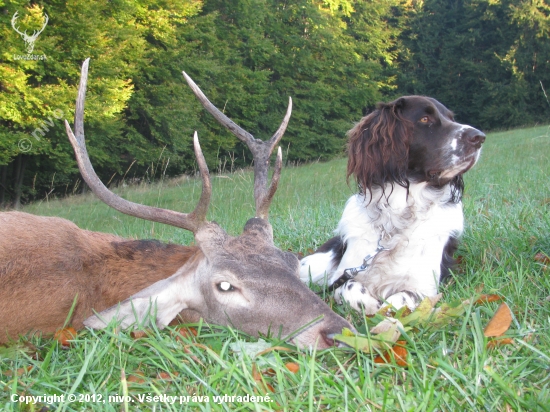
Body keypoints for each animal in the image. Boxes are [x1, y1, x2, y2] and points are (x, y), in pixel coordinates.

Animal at [300, 96, 486, 314]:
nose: (479, 137)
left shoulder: (425, 288)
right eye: (425, 119)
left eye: (451, 118)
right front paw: (370, 304)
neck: (398, 218)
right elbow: (349, 287)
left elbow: (402, 299)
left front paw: (385, 309)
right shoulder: (342, 277)